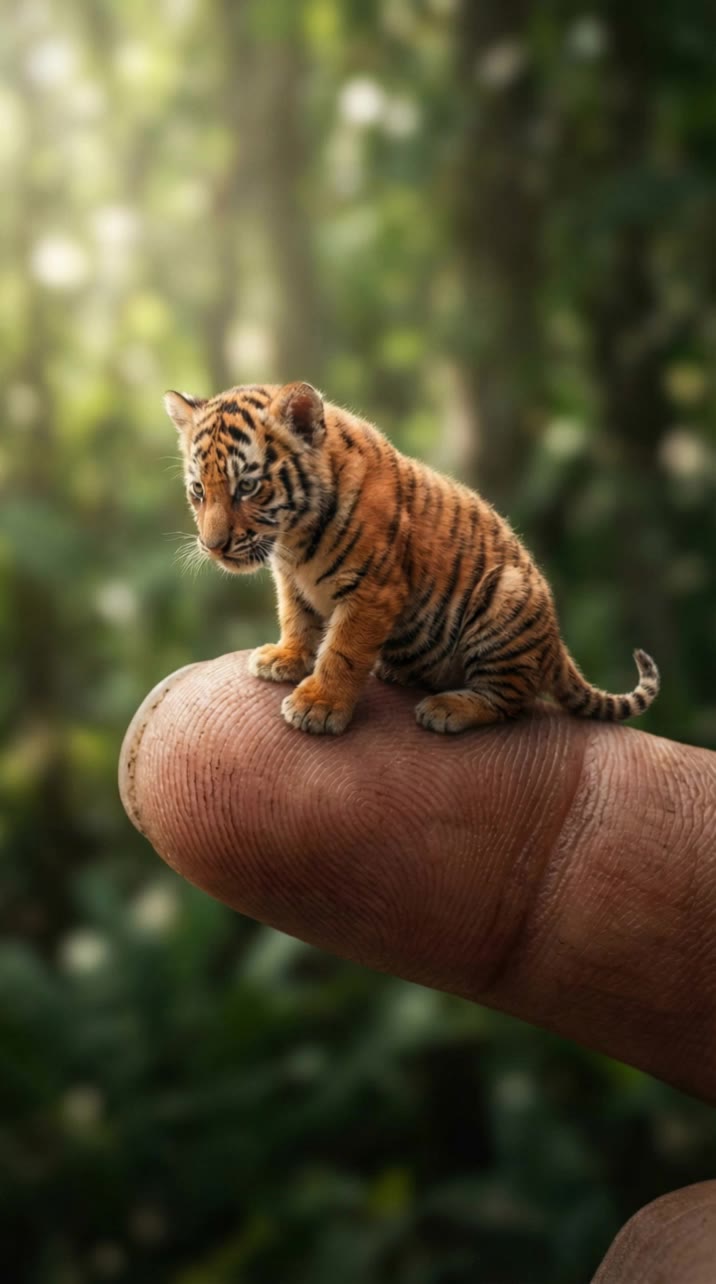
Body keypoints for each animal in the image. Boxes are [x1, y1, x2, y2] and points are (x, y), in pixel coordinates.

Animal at [165, 381, 660, 735]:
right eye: (198, 490)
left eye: (247, 486)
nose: (213, 546)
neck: (293, 537)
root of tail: (556, 644)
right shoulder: (291, 582)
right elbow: (297, 618)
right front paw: (285, 657)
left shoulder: (372, 591)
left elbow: (343, 651)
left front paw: (319, 706)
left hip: (506, 596)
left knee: (510, 700)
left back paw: (446, 708)